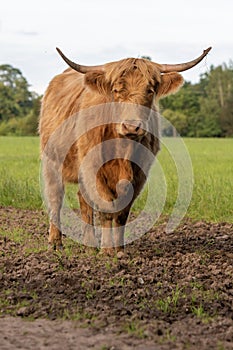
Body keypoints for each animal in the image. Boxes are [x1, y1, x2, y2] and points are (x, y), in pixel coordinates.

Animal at [39, 46, 211, 254]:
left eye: (150, 90)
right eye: (115, 90)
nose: (131, 127)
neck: (123, 149)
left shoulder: (139, 174)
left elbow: (122, 213)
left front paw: (119, 249)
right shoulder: (94, 169)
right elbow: (106, 208)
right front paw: (107, 250)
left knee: (83, 199)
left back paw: (89, 245)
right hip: (52, 162)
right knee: (55, 198)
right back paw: (55, 242)